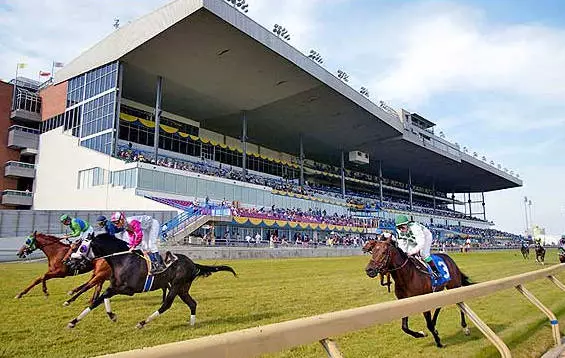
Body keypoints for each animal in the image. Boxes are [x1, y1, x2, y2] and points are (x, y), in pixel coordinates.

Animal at [67, 232, 237, 330]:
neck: (122, 259)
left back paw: (142, 323)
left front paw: (74, 321)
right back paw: (192, 324)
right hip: (182, 288)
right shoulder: (114, 285)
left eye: (82, 247)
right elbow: (101, 298)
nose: (69, 262)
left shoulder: (127, 289)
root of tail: (193, 263)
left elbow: (102, 296)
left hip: (176, 286)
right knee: (192, 303)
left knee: (166, 305)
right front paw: (109, 315)